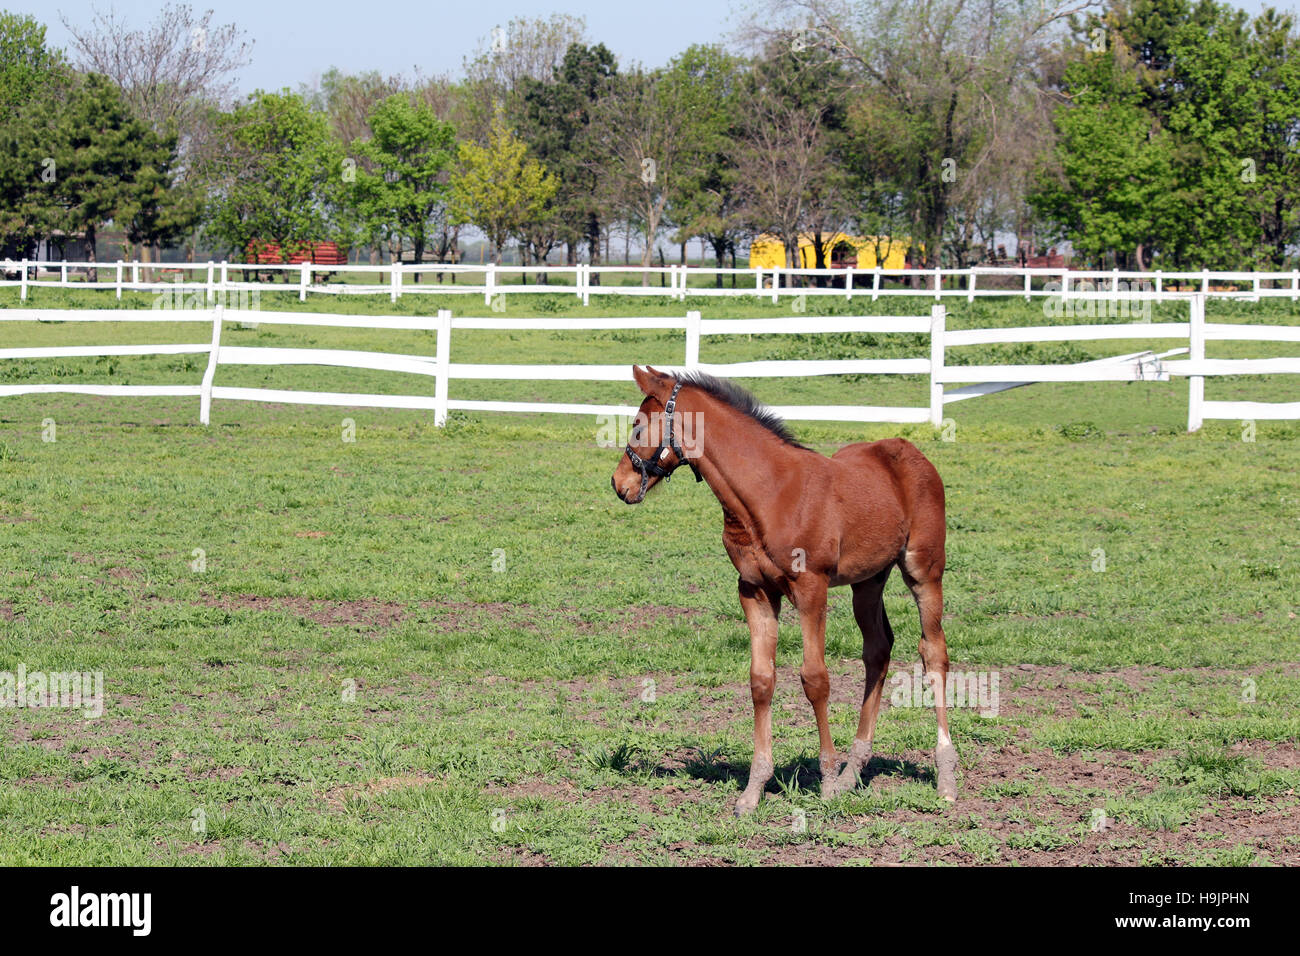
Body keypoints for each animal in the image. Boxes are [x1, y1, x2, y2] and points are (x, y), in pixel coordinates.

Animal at [608, 366, 956, 816]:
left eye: (637, 425)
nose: (618, 483)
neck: (767, 494)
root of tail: (910, 450)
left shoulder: (811, 588)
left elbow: (815, 679)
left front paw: (826, 781)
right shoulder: (754, 591)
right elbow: (761, 680)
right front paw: (753, 790)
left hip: (923, 571)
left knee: (933, 652)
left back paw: (944, 776)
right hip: (868, 580)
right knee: (878, 650)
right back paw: (854, 771)